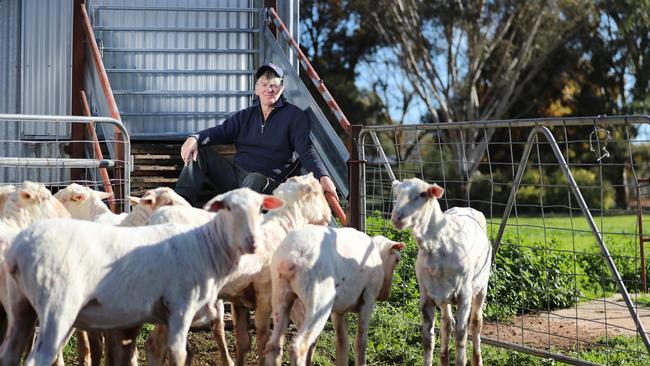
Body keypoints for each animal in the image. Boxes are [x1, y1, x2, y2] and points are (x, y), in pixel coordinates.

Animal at [264, 226, 404, 366]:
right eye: (397, 260)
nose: (385, 295)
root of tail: (292, 256)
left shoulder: (338, 310)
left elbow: (342, 341)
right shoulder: (369, 298)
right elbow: (361, 340)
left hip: (280, 295)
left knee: (274, 345)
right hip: (318, 299)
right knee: (299, 347)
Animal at [388, 179, 488, 366]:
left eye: (422, 194)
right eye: (396, 194)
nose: (397, 218)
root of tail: (466, 208)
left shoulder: (464, 295)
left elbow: (461, 337)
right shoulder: (426, 297)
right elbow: (428, 340)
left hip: (481, 287)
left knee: (476, 322)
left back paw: (477, 359)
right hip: (443, 297)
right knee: (447, 322)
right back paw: (444, 358)